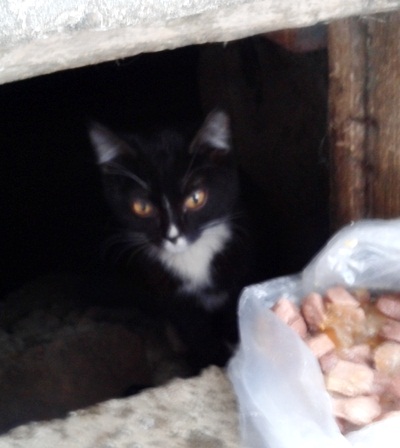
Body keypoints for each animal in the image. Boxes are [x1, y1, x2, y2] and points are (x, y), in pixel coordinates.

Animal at [89, 110, 254, 371]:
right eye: (142, 206)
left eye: (196, 198)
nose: (173, 236)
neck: (192, 256)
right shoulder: (170, 295)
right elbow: (194, 331)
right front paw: (210, 363)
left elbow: (235, 312)